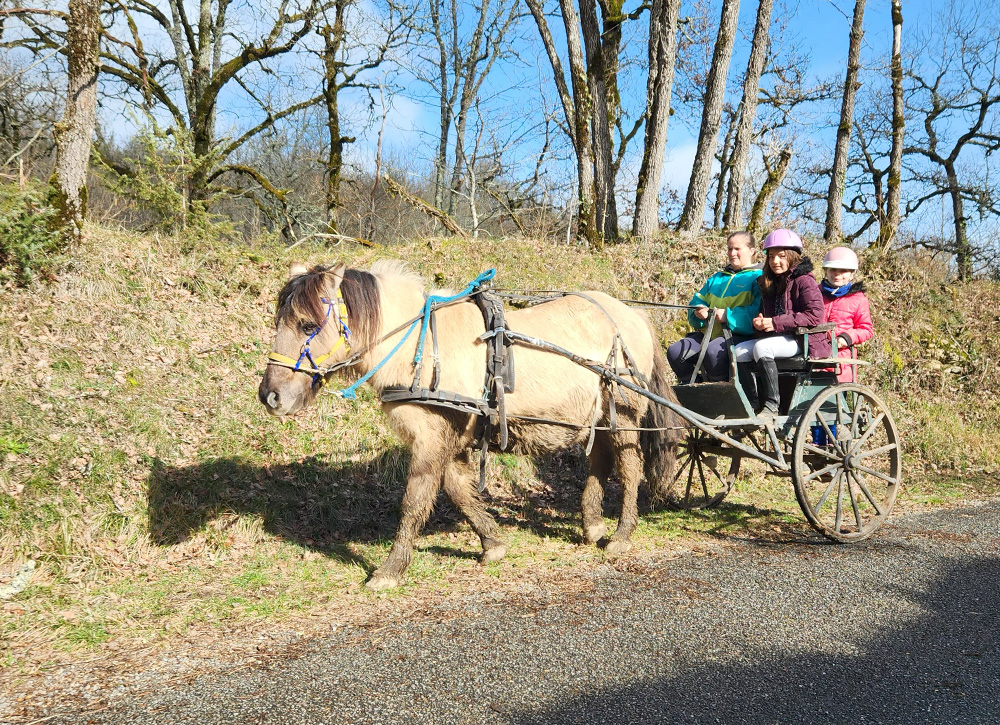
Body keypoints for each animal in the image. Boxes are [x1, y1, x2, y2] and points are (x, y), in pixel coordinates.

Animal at [258, 260, 683, 590]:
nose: (270, 396)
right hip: (596, 415)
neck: (420, 346)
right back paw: (593, 525)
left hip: (624, 413)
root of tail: (631, 314)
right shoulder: (449, 437)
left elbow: (415, 500)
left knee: (629, 467)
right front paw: (493, 543)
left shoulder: (431, 436)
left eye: (308, 324)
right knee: (600, 461)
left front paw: (390, 571)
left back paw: (621, 535)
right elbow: (458, 490)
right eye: (280, 321)